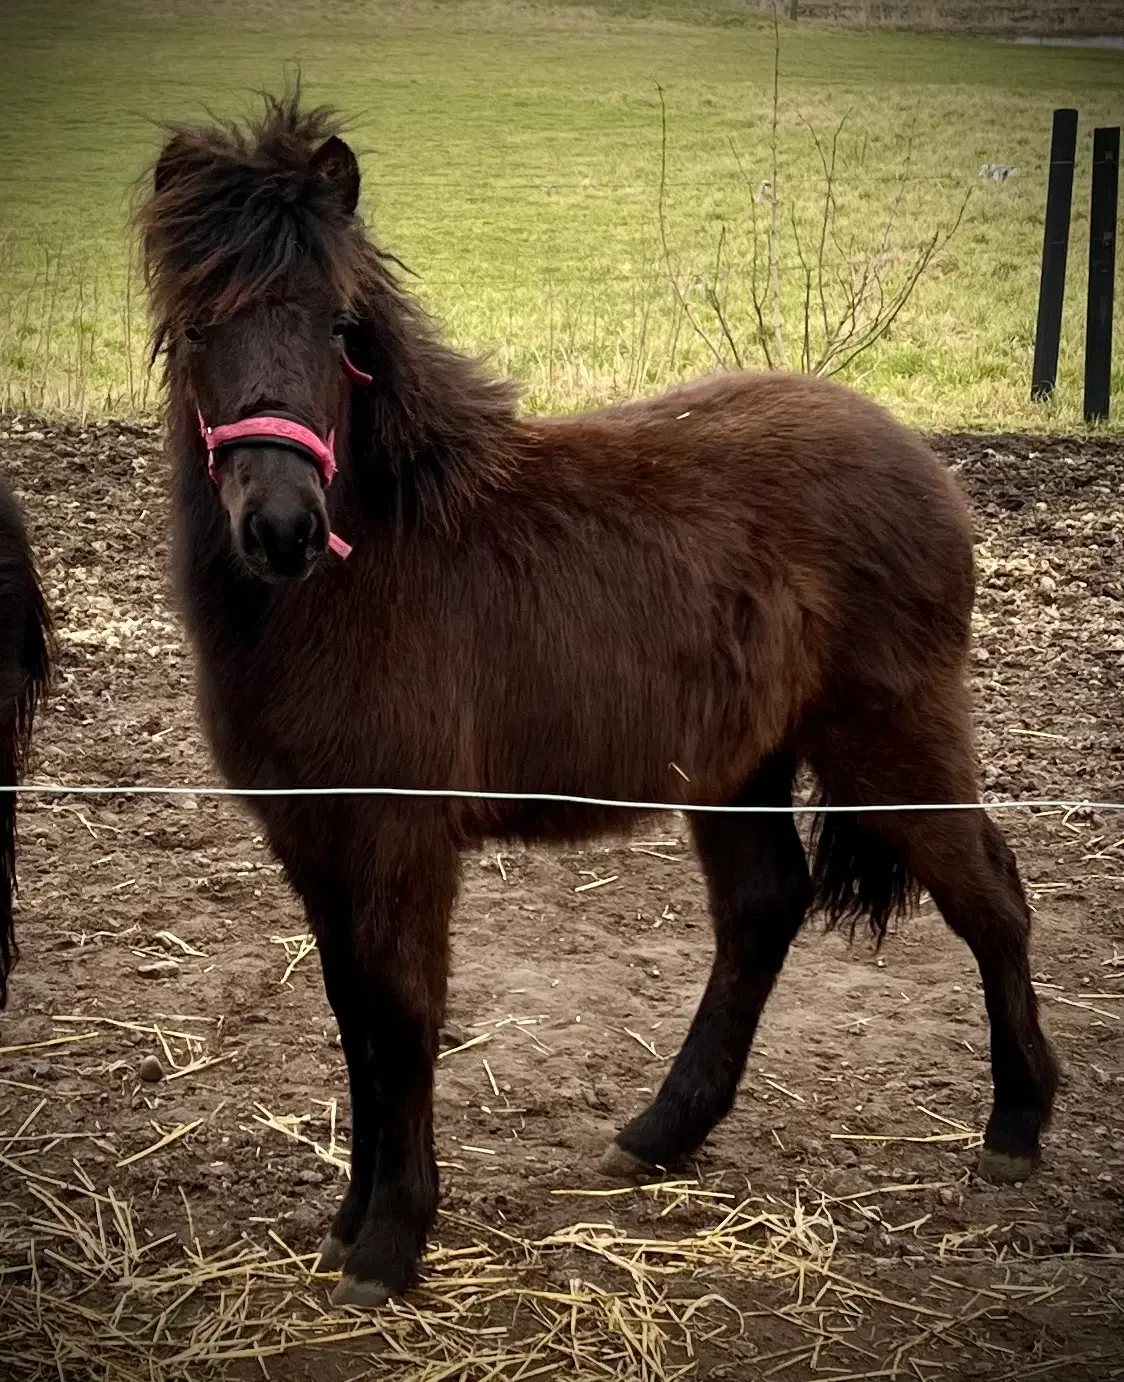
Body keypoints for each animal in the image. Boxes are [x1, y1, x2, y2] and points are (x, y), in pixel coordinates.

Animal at [136, 94, 1056, 1304]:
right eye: (199, 327)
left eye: (339, 329)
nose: (283, 526)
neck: (360, 573)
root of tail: (920, 460)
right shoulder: (312, 837)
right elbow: (349, 1017)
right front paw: (346, 1224)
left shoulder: (397, 837)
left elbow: (402, 1017)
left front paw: (390, 1242)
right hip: (739, 767)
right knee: (763, 907)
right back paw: (660, 1133)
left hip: (891, 739)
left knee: (990, 898)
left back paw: (1016, 1127)